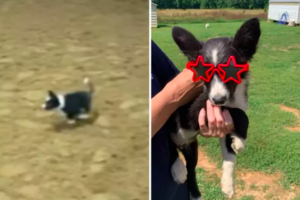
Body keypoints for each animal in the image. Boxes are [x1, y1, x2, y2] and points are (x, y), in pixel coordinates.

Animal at [169, 18, 260, 199]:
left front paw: (228, 184)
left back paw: (196, 193)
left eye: (230, 70)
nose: (218, 100)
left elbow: (230, 157)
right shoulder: (196, 110)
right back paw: (177, 167)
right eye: (205, 72)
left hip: (192, 147)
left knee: (191, 168)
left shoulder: (225, 126)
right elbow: (240, 113)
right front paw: (241, 142)